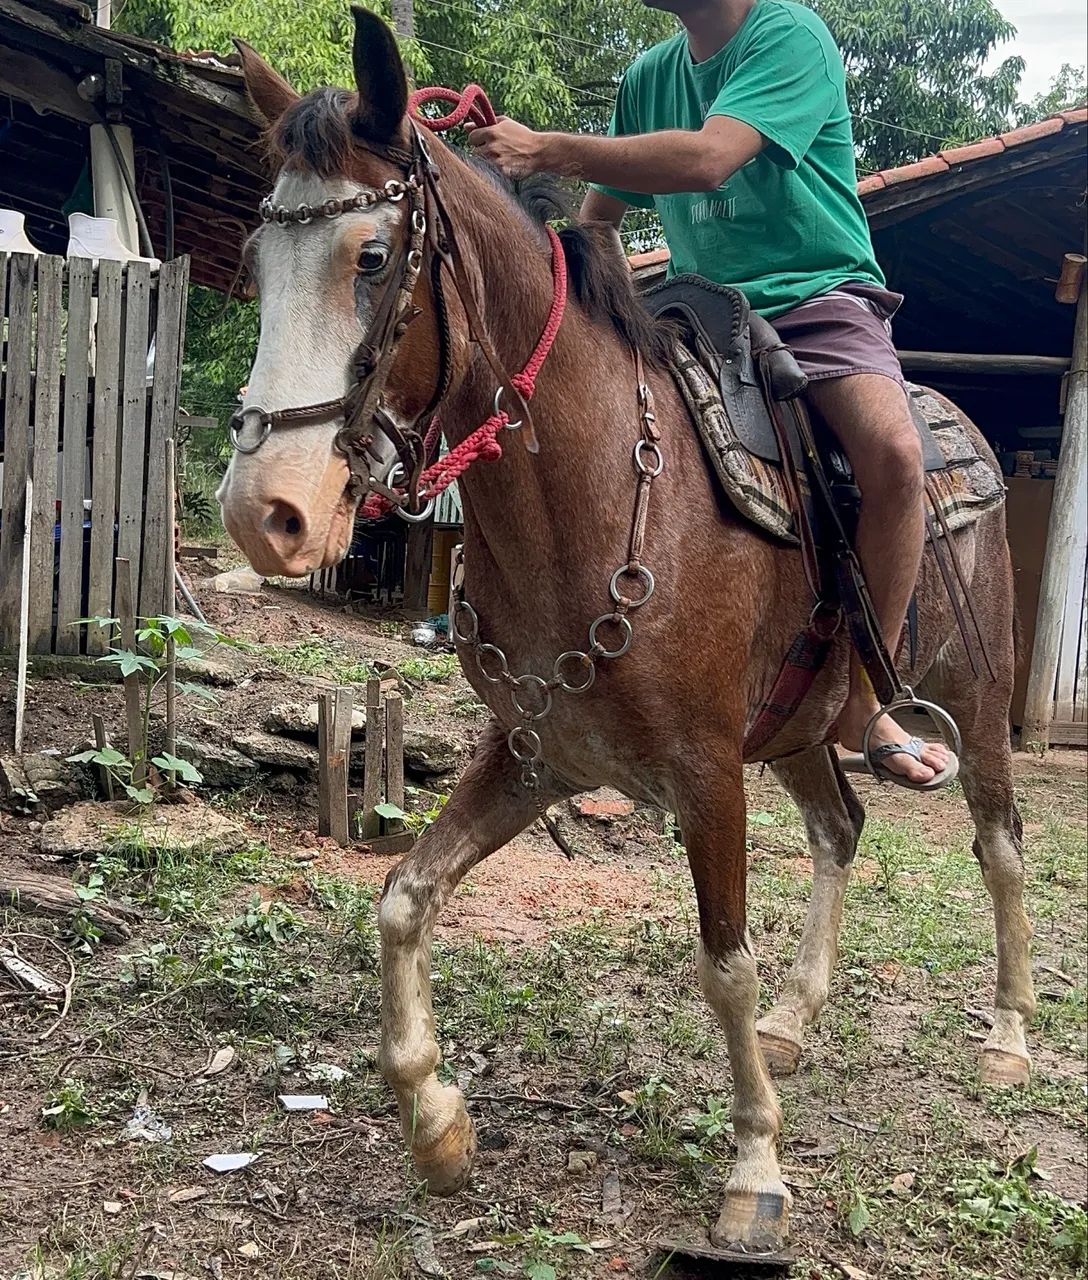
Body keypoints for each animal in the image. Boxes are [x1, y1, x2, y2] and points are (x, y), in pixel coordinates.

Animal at [218, 9, 1035, 1252]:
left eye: (370, 258)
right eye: (260, 259)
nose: (265, 514)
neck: (596, 491)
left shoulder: (703, 772)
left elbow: (721, 963)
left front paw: (753, 1167)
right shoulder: (536, 753)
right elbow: (404, 895)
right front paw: (436, 1123)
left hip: (973, 696)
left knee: (997, 844)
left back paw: (1008, 1030)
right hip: (797, 728)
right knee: (839, 826)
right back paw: (801, 1015)